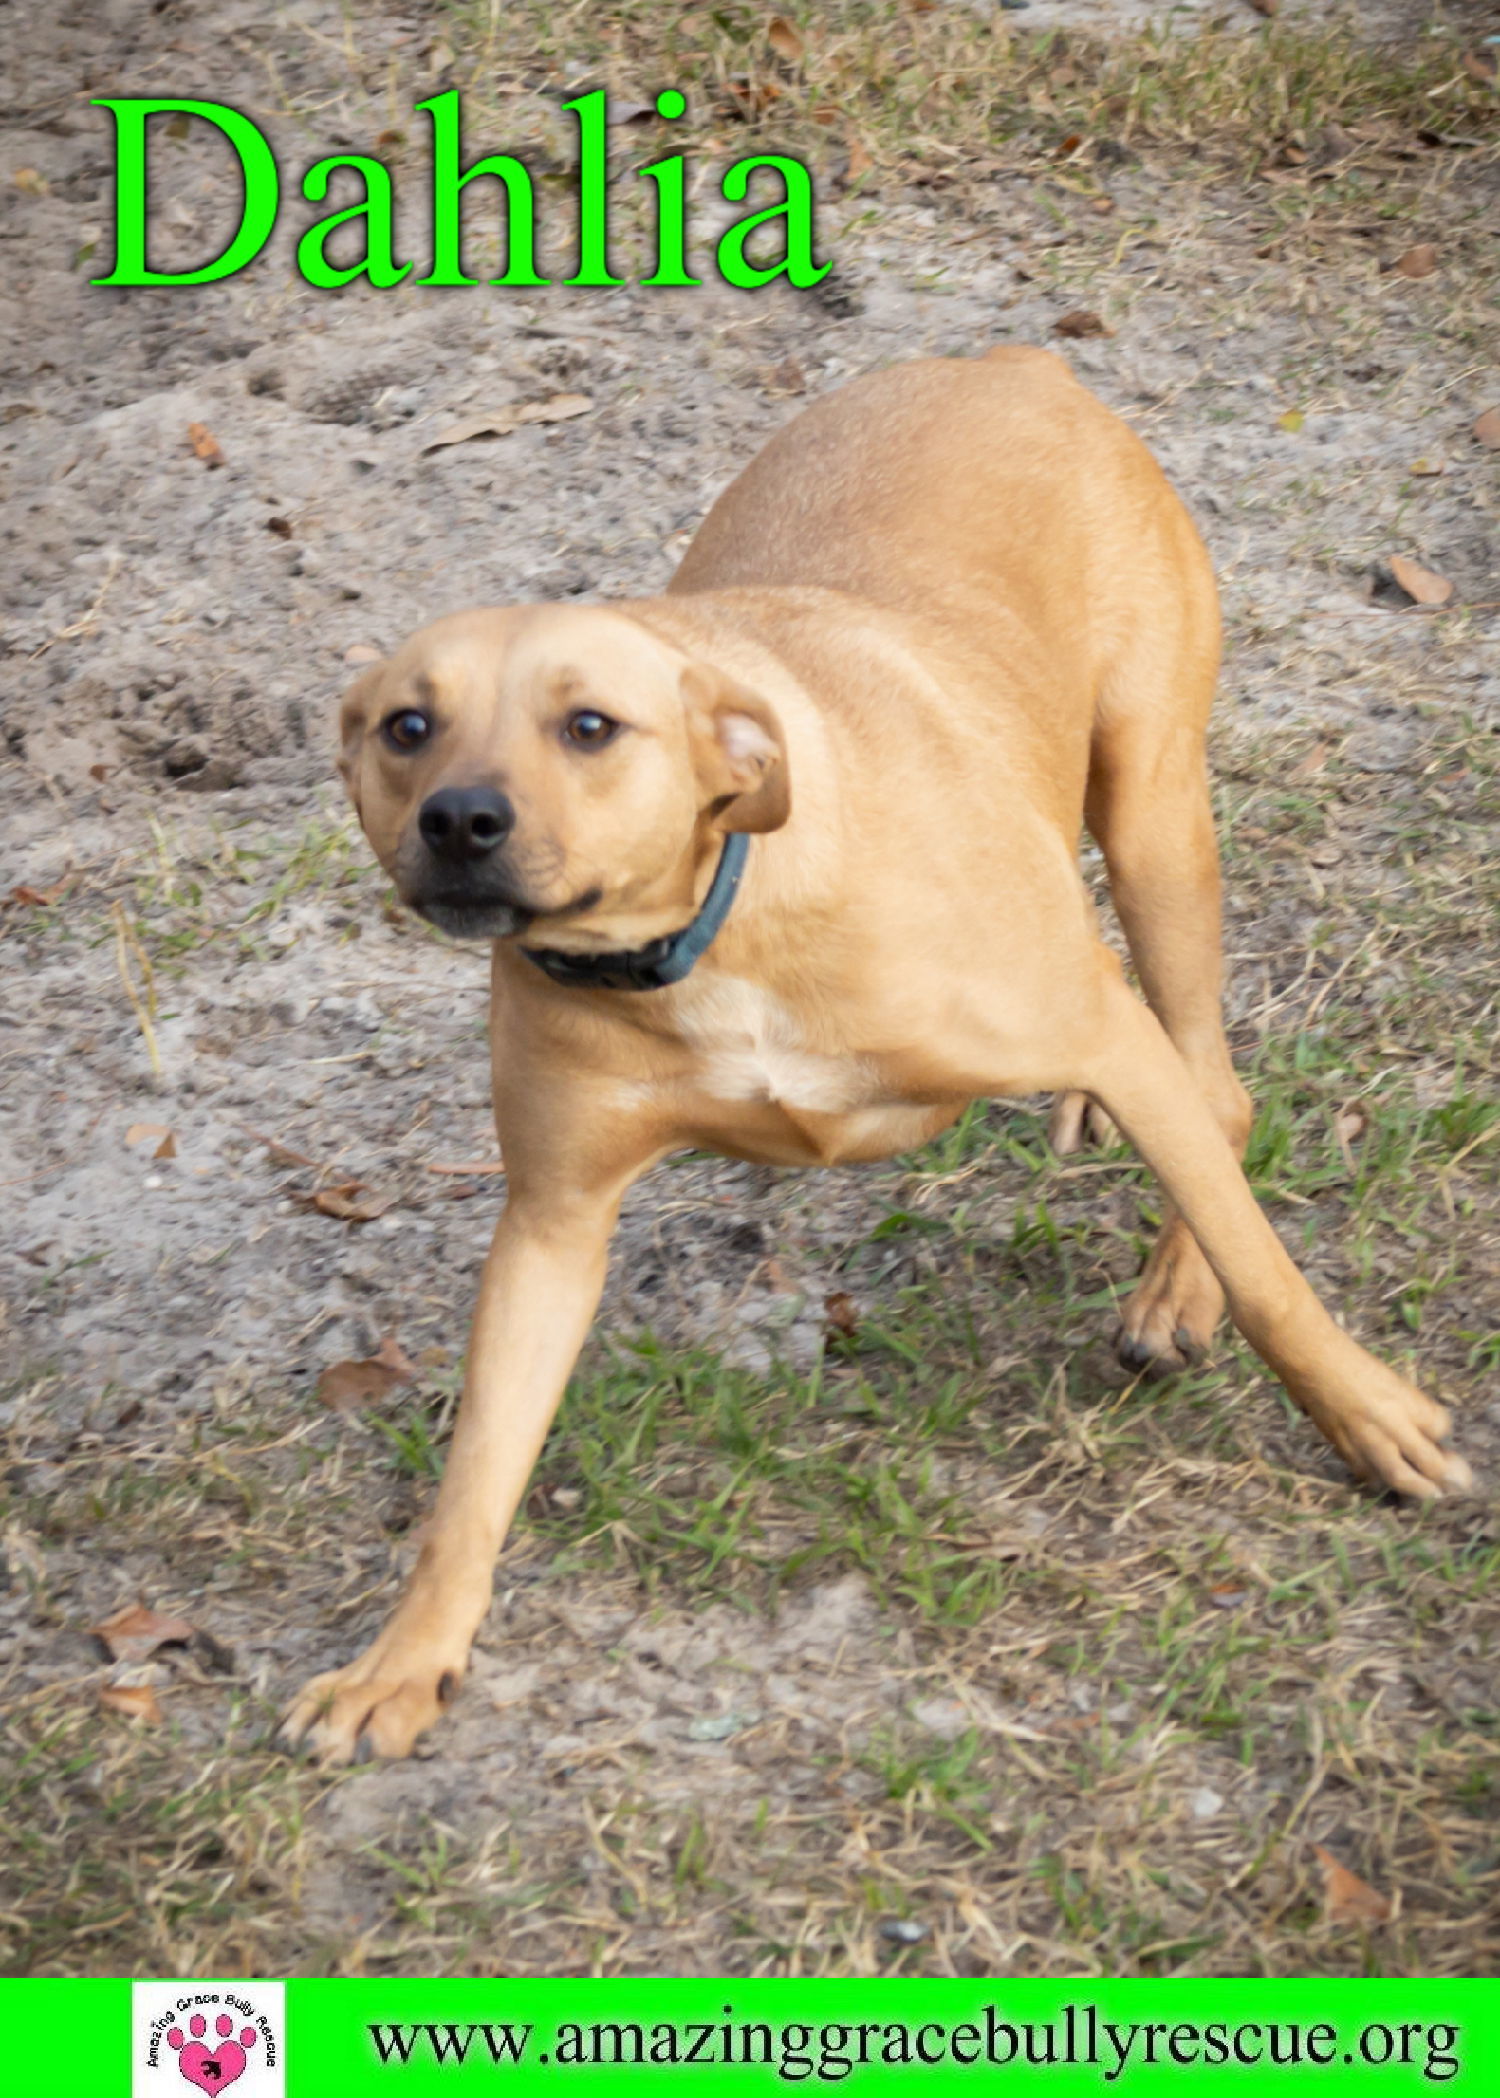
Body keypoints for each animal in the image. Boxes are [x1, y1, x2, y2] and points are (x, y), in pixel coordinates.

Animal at [279, 352, 1468, 1762]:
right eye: (407, 727)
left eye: (590, 726)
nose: (461, 820)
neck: (715, 928)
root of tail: (1012, 362)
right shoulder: (553, 1222)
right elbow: (474, 1479)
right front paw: (405, 1659)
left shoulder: (1093, 1020)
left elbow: (1270, 1273)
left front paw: (1368, 1419)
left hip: (1153, 813)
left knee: (1214, 1088)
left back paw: (1179, 1288)